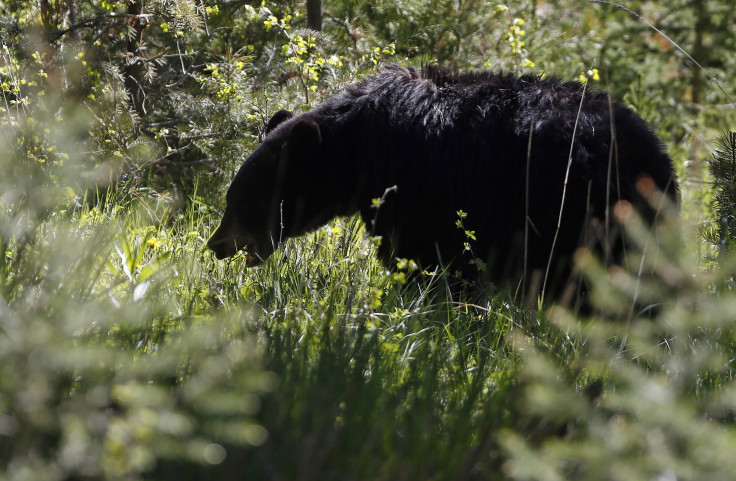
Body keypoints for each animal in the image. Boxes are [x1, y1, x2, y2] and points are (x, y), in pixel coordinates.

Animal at [207, 64, 680, 304]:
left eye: (241, 202)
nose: (215, 244)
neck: (359, 145)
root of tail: (659, 160)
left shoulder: (424, 190)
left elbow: (424, 254)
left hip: (585, 213)